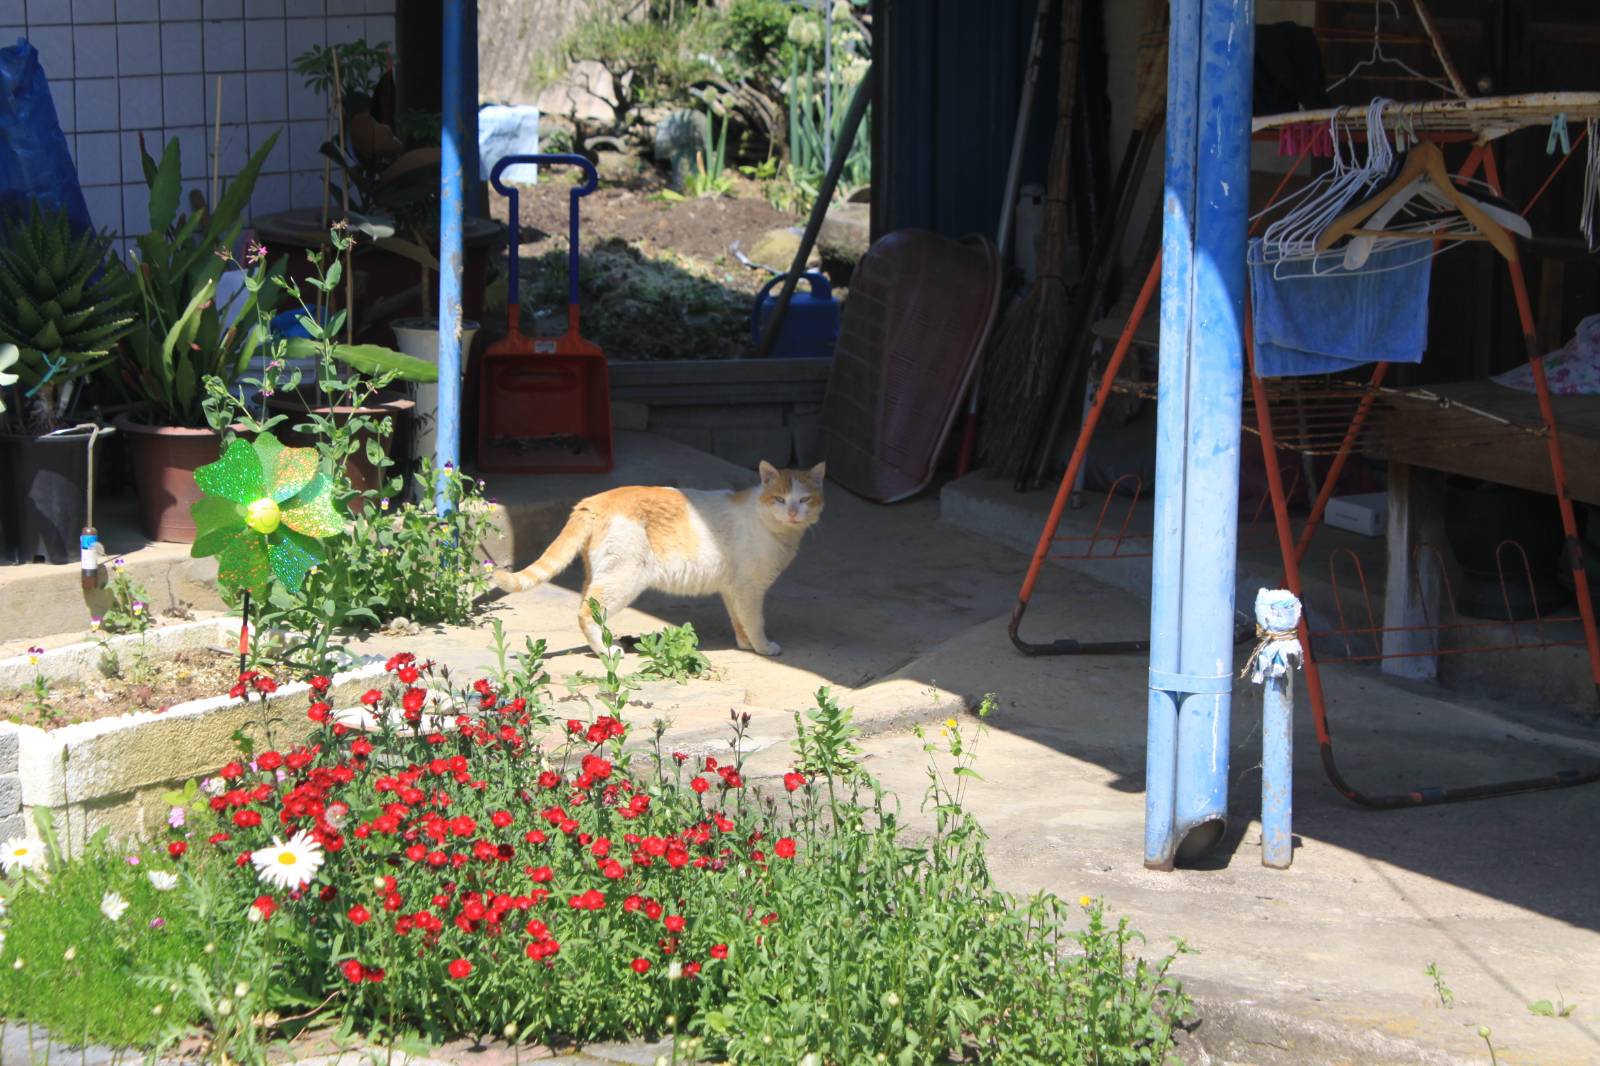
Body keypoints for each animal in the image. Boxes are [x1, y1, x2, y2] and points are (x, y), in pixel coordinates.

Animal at [492, 457, 825, 656]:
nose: (793, 512)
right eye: (779, 499)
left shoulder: (734, 590)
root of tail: (595, 500)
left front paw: (744, 645)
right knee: (586, 613)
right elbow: (755, 621)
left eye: (805, 500)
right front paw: (763, 648)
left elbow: (739, 620)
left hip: (601, 575)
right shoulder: (749, 590)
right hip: (622, 579)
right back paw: (607, 652)